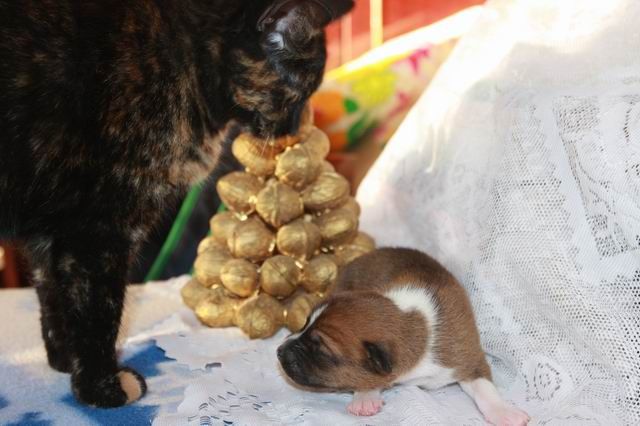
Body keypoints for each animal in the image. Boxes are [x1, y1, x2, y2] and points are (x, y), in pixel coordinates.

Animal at [0, 0, 353, 407]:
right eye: (301, 91)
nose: (293, 130)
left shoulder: (49, 230)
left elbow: (52, 297)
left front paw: (63, 361)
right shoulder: (97, 231)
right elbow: (97, 313)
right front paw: (103, 388)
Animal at [277, 247, 529, 425]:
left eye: (320, 350)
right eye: (305, 323)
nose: (279, 351)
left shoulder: (468, 356)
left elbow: (485, 388)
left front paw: (503, 411)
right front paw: (365, 397)